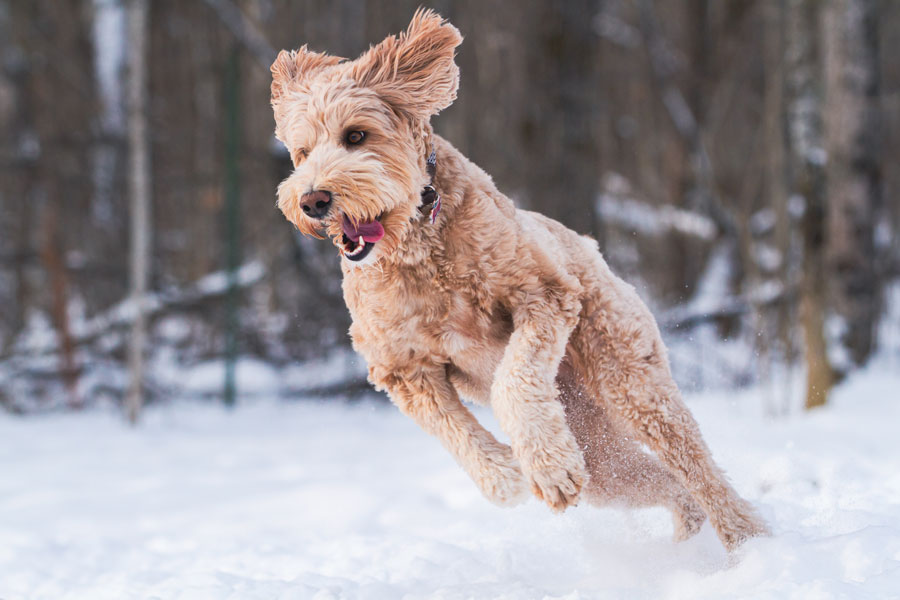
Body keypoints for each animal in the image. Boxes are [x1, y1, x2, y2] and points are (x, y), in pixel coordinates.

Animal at [270, 10, 768, 552]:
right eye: (301, 152)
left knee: (697, 468)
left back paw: (749, 543)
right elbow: (451, 428)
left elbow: (515, 377)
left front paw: (546, 468)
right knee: (665, 484)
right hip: (600, 454)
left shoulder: (544, 295)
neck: (419, 250)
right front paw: (506, 474)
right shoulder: (401, 365)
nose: (312, 200)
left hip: (629, 380)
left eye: (356, 136)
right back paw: (685, 531)